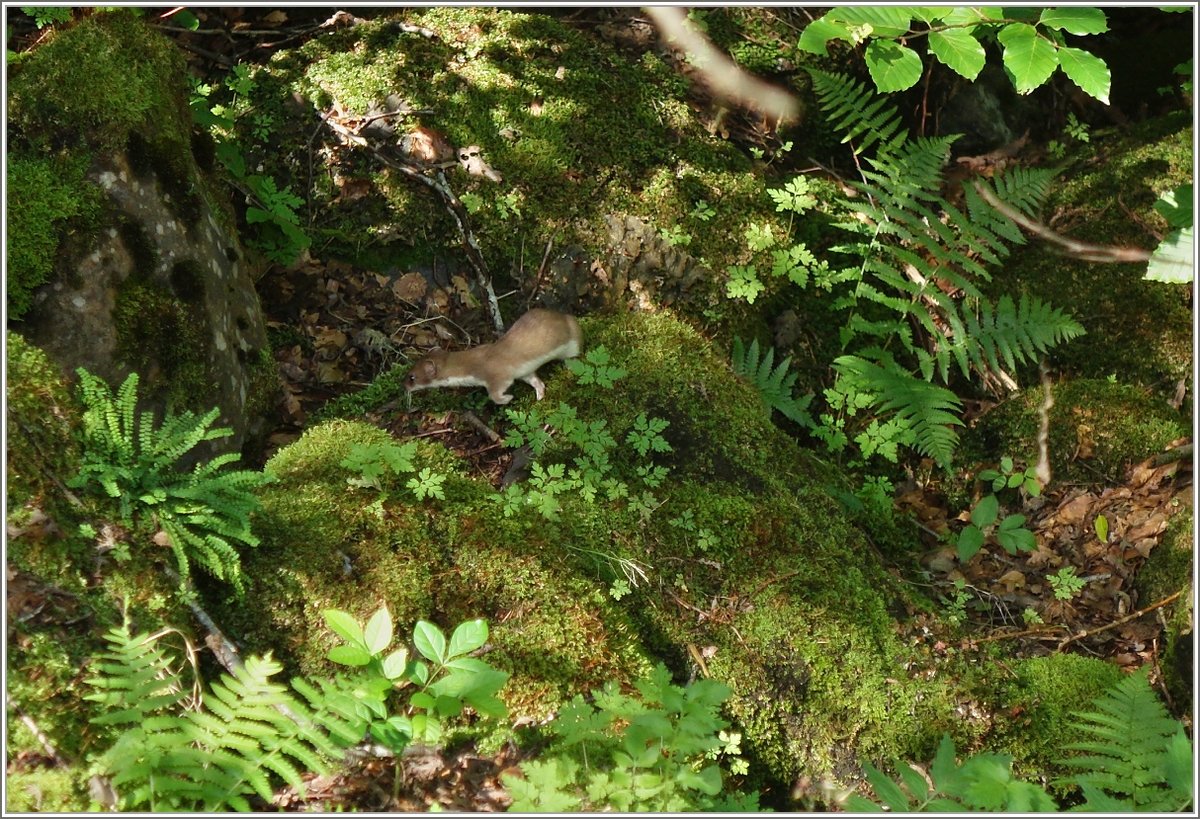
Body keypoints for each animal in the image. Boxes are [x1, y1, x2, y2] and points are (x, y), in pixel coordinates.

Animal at [405, 307, 583, 403]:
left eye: (411, 377)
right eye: (410, 371)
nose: (403, 386)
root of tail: (565, 316)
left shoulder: (498, 375)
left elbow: (494, 394)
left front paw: (508, 398)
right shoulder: (524, 372)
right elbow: (536, 381)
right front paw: (539, 394)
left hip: (572, 339)